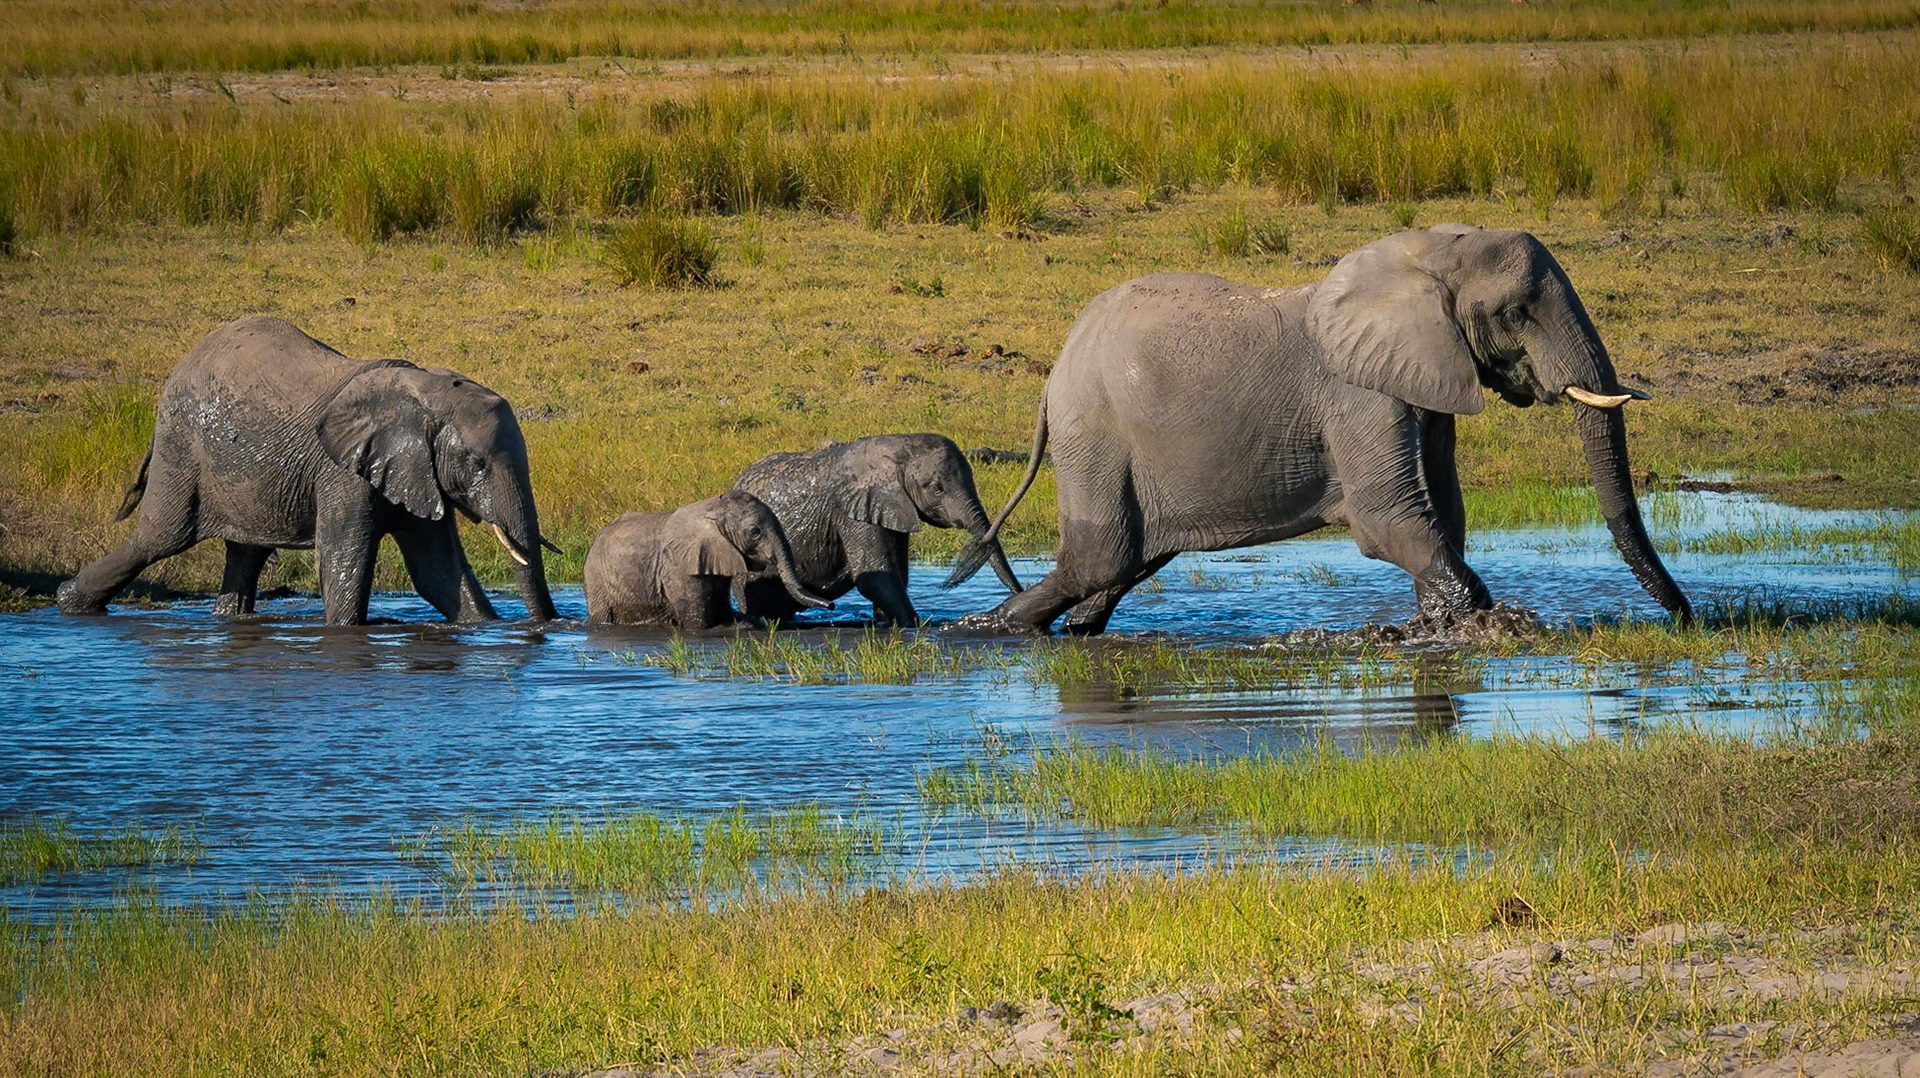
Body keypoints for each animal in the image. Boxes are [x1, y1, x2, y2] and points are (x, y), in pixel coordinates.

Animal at [57, 315, 560, 625]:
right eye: (476, 464)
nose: (549, 627)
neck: (424, 390)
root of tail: (180, 367)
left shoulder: (415, 470)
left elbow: (437, 571)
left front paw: (484, 626)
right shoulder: (342, 473)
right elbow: (343, 561)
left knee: (245, 555)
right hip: (181, 448)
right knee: (159, 538)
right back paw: (69, 604)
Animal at [584, 490, 832, 629]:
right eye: (755, 532)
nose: (830, 605)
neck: (712, 508)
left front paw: (748, 622)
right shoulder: (678, 568)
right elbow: (698, 623)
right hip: (596, 580)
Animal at [731, 433, 1023, 626]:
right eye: (937, 488)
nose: (1019, 593)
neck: (897, 450)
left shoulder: (892, 510)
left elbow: (896, 576)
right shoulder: (853, 514)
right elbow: (877, 577)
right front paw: (918, 625)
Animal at [961, 225, 1692, 635]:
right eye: (1516, 312)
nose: (1688, 620)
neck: (1423, 254)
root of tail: (1056, 371)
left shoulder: (1422, 384)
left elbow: (1442, 513)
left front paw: (1435, 625)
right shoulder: (1358, 397)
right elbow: (1386, 519)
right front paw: (1486, 623)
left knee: (1118, 571)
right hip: (1096, 432)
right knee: (1098, 560)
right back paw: (982, 630)